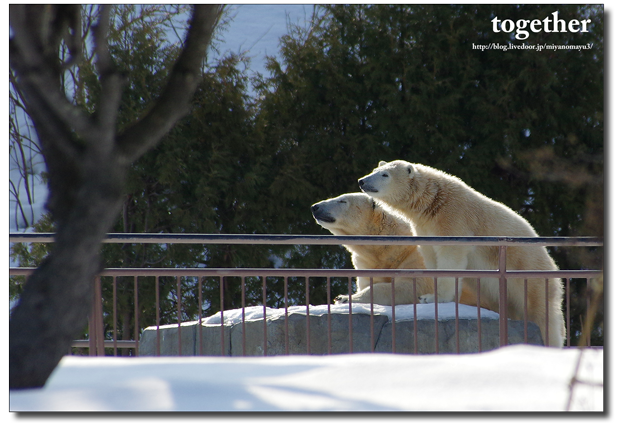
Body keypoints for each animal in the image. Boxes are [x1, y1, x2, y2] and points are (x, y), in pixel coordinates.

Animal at [310, 193, 480, 308]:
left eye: (342, 200)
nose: (315, 207)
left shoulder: (414, 256)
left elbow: (408, 287)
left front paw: (344, 298)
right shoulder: (367, 262)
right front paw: (345, 296)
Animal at [358, 160, 568, 348]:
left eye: (385, 174)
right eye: (375, 170)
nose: (362, 181)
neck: (434, 202)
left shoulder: (454, 219)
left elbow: (450, 258)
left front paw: (434, 298)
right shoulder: (426, 228)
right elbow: (432, 258)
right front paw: (430, 295)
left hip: (528, 271)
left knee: (540, 310)